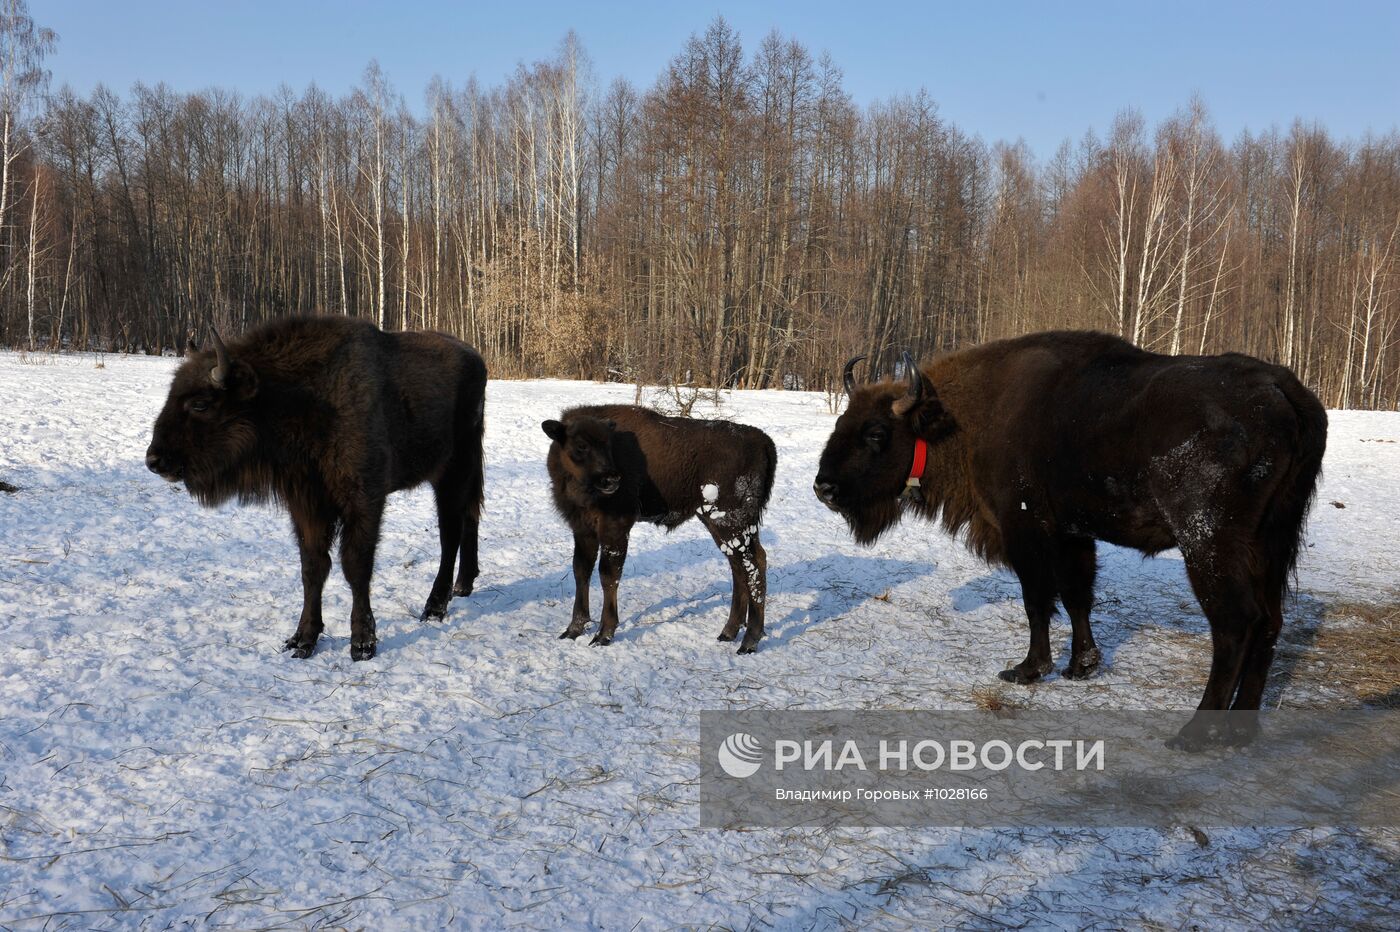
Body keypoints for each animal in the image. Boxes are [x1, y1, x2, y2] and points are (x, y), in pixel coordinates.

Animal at [144, 316, 487, 657]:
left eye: (200, 404)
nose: (154, 460)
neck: (301, 398)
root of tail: (476, 359)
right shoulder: (307, 505)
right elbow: (313, 568)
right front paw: (302, 639)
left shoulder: (363, 501)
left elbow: (356, 565)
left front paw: (362, 643)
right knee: (469, 518)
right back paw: (463, 585)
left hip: (453, 472)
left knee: (450, 534)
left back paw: (434, 607)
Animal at [540, 405, 778, 652]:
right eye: (580, 445)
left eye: (608, 444)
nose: (611, 479)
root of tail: (763, 441)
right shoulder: (582, 530)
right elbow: (581, 571)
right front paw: (573, 629)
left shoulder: (615, 528)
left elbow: (608, 575)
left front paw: (603, 635)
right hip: (722, 525)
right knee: (740, 566)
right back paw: (728, 632)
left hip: (731, 523)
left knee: (753, 565)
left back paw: (749, 641)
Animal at [812, 334, 1321, 750]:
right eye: (842, 422)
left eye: (877, 433)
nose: (824, 488)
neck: (966, 416)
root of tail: (1284, 391)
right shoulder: (1074, 536)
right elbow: (1078, 598)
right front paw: (1082, 666)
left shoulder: (1026, 532)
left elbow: (1038, 602)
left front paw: (1027, 670)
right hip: (1273, 542)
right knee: (1271, 621)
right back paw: (1241, 731)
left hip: (1209, 545)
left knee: (1235, 624)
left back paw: (1195, 732)